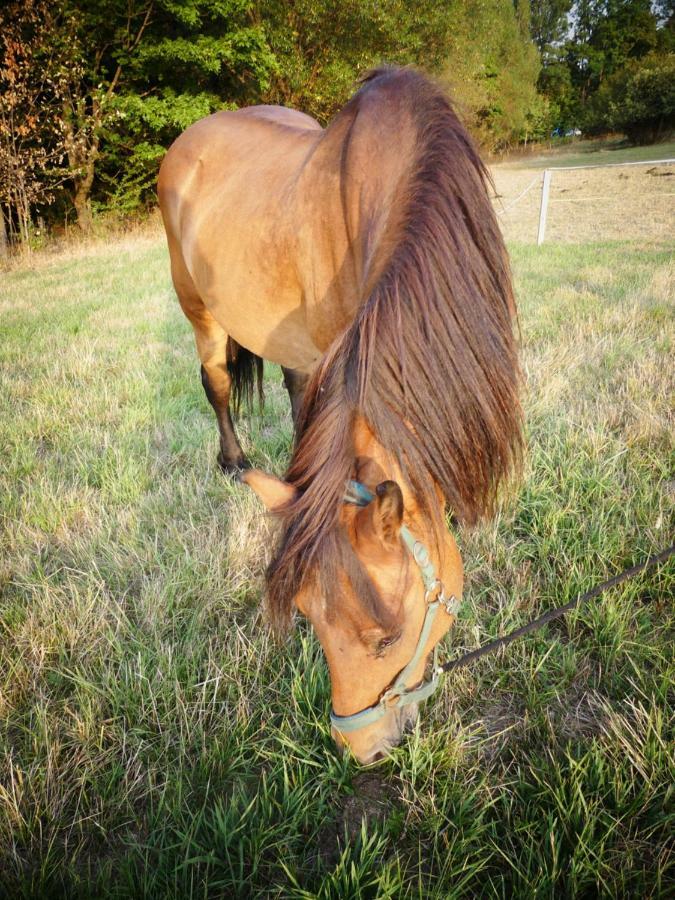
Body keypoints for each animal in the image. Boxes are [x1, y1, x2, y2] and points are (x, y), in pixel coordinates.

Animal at [158, 67, 524, 764]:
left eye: (386, 637)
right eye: (306, 619)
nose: (361, 750)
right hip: (200, 313)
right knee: (216, 385)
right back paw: (233, 460)